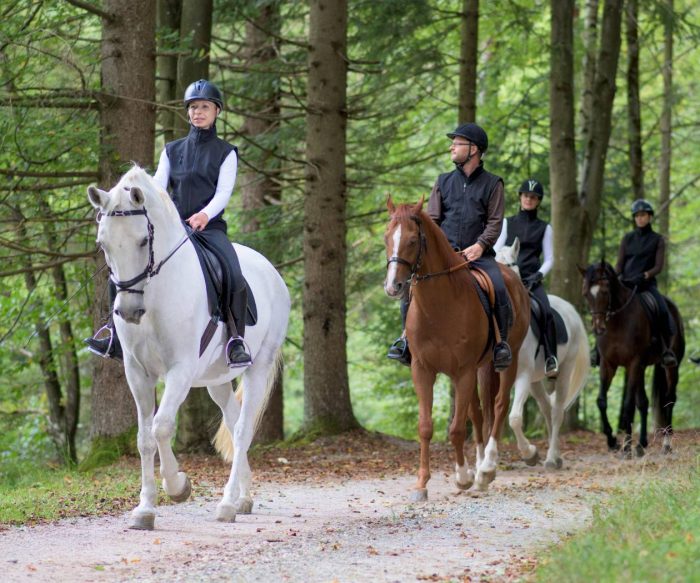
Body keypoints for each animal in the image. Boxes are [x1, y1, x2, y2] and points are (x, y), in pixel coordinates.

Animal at [87, 167, 290, 532]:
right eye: (103, 243)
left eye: (143, 241)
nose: (128, 312)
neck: (155, 294)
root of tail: (271, 271)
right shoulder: (137, 372)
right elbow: (144, 437)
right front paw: (145, 510)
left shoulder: (179, 371)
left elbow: (162, 426)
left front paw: (178, 486)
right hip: (216, 380)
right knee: (234, 420)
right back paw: (244, 498)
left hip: (258, 366)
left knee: (243, 429)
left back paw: (227, 504)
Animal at [382, 198, 532, 500]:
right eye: (386, 238)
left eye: (413, 240)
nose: (393, 287)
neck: (439, 306)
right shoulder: (423, 370)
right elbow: (426, 427)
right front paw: (422, 483)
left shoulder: (463, 371)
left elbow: (456, 430)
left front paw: (463, 477)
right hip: (481, 368)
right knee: (479, 411)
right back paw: (480, 466)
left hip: (506, 361)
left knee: (499, 406)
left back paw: (486, 469)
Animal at [494, 240, 588, 468]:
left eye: (509, 265)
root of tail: (571, 310)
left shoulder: (522, 376)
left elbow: (514, 418)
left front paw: (529, 453)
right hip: (535, 380)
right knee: (546, 407)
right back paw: (556, 455)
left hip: (563, 372)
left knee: (557, 411)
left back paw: (552, 458)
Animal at [580, 260, 684, 456]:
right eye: (585, 294)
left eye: (605, 291)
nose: (598, 328)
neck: (617, 321)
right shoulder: (608, 365)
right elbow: (602, 401)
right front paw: (613, 441)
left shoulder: (633, 363)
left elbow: (628, 405)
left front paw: (626, 446)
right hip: (641, 368)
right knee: (643, 402)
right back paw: (641, 444)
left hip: (671, 367)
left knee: (669, 399)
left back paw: (666, 444)